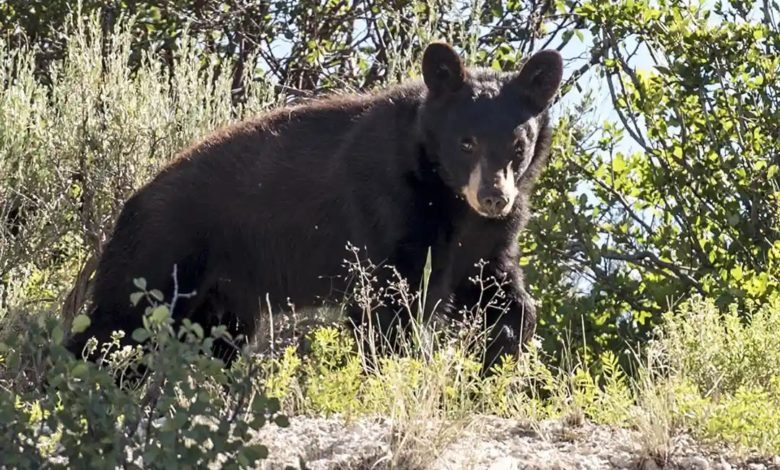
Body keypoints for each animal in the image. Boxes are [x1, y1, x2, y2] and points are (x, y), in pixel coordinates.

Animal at [66, 42, 563, 374]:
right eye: (466, 142)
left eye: (518, 145)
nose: (494, 197)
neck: (448, 195)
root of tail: (130, 203)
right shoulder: (390, 205)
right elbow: (387, 302)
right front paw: (393, 371)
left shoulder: (486, 238)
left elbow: (497, 289)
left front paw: (499, 356)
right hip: (163, 252)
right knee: (115, 324)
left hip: (222, 297)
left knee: (214, 341)